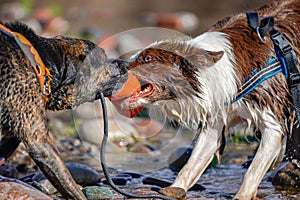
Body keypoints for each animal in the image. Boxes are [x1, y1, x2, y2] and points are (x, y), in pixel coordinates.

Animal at [109, 0, 298, 199]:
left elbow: (252, 171)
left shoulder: (273, 121)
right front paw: (173, 189)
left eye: (147, 58)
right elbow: (192, 163)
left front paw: (242, 195)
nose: (114, 65)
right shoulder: (216, 116)